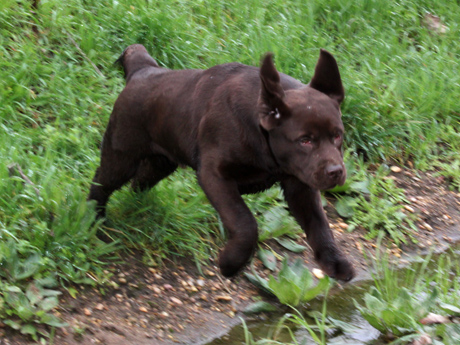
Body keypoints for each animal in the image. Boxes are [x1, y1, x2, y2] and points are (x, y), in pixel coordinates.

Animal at [90, 44, 356, 280]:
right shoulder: (214, 175)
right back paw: (94, 219)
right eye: (305, 140)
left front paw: (334, 262)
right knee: (101, 183)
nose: (335, 171)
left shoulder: (300, 185)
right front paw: (231, 262)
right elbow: (245, 222)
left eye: (337, 135)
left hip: (162, 162)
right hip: (122, 155)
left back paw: (138, 207)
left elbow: (319, 225)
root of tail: (143, 71)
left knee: (140, 181)